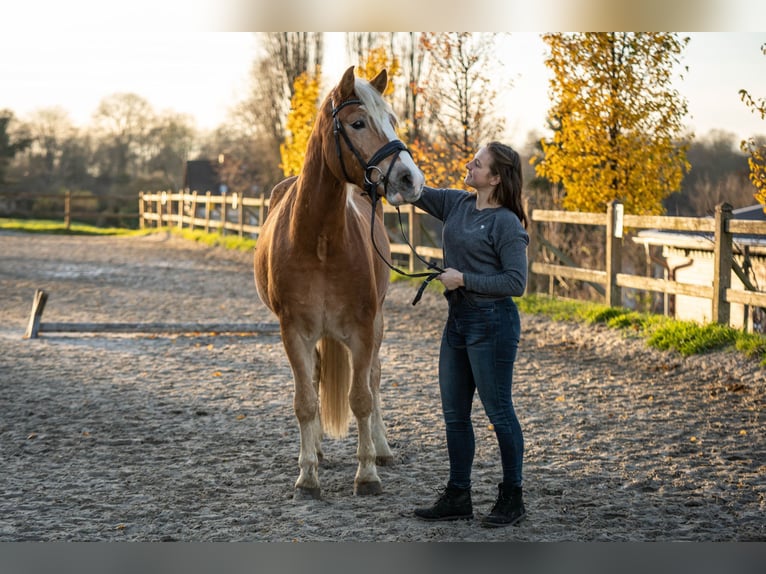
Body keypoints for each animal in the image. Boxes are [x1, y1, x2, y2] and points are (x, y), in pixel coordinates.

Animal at [254, 66, 425, 499]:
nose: (410, 179)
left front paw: (367, 473)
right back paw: (316, 450)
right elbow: (304, 401)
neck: (319, 240)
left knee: (374, 379)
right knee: (315, 382)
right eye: (358, 123)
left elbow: (361, 397)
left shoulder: (363, 328)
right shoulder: (294, 331)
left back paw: (381, 448)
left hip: (376, 325)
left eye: (393, 120)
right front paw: (307, 476)